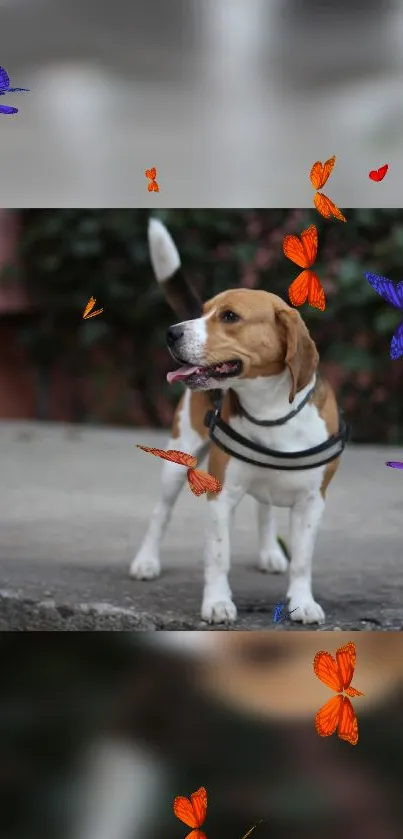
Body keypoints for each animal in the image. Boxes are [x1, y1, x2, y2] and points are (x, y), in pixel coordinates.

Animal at [130, 220, 350, 628]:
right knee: (159, 514)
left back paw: (271, 554)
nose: (171, 332)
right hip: (179, 456)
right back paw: (146, 561)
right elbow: (219, 556)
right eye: (204, 312)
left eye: (230, 316)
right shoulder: (221, 495)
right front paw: (217, 603)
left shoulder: (313, 502)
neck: (270, 411)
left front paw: (302, 601)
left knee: (265, 509)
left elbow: (303, 560)